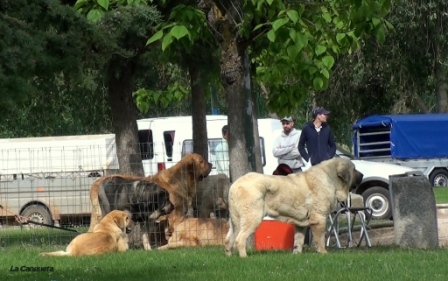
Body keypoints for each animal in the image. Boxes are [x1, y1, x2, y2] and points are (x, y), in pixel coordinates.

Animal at [226, 158, 362, 256]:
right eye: (354, 169)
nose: (362, 175)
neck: (330, 178)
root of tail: (234, 185)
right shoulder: (319, 218)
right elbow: (320, 238)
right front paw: (323, 252)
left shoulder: (301, 225)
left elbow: (298, 240)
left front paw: (296, 254)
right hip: (253, 218)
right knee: (240, 239)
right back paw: (244, 257)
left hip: (235, 221)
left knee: (229, 239)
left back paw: (229, 256)